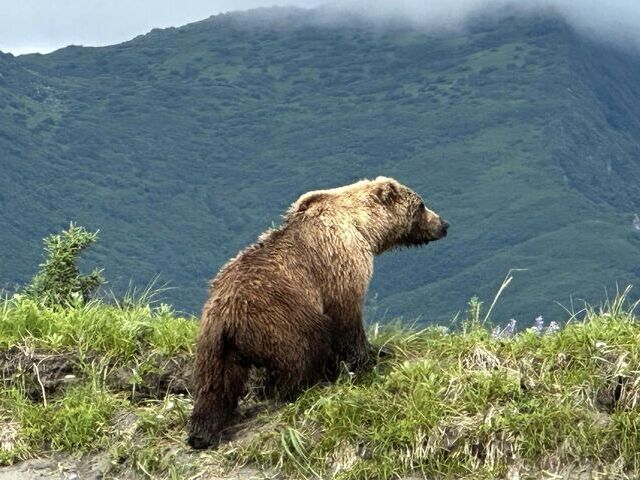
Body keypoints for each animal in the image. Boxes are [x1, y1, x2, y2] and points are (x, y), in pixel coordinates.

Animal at [189, 176, 450, 450]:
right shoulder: (340, 261)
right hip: (281, 318)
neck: (363, 228)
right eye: (421, 205)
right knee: (304, 349)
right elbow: (347, 315)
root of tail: (227, 318)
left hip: (213, 344)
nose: (443, 224)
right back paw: (304, 385)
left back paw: (202, 433)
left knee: (213, 386)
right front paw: (371, 356)